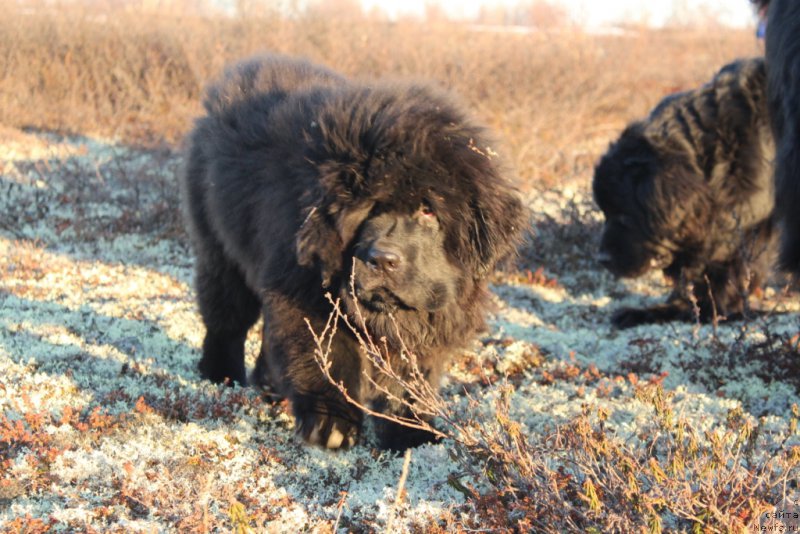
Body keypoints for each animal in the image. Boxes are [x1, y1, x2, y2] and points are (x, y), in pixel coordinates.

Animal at [181, 54, 524, 450]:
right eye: (371, 206)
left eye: (428, 211)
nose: (381, 259)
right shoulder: (305, 293)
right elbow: (327, 358)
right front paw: (332, 425)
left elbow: (410, 380)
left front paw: (412, 434)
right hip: (220, 251)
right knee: (226, 318)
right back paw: (222, 373)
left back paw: (267, 384)